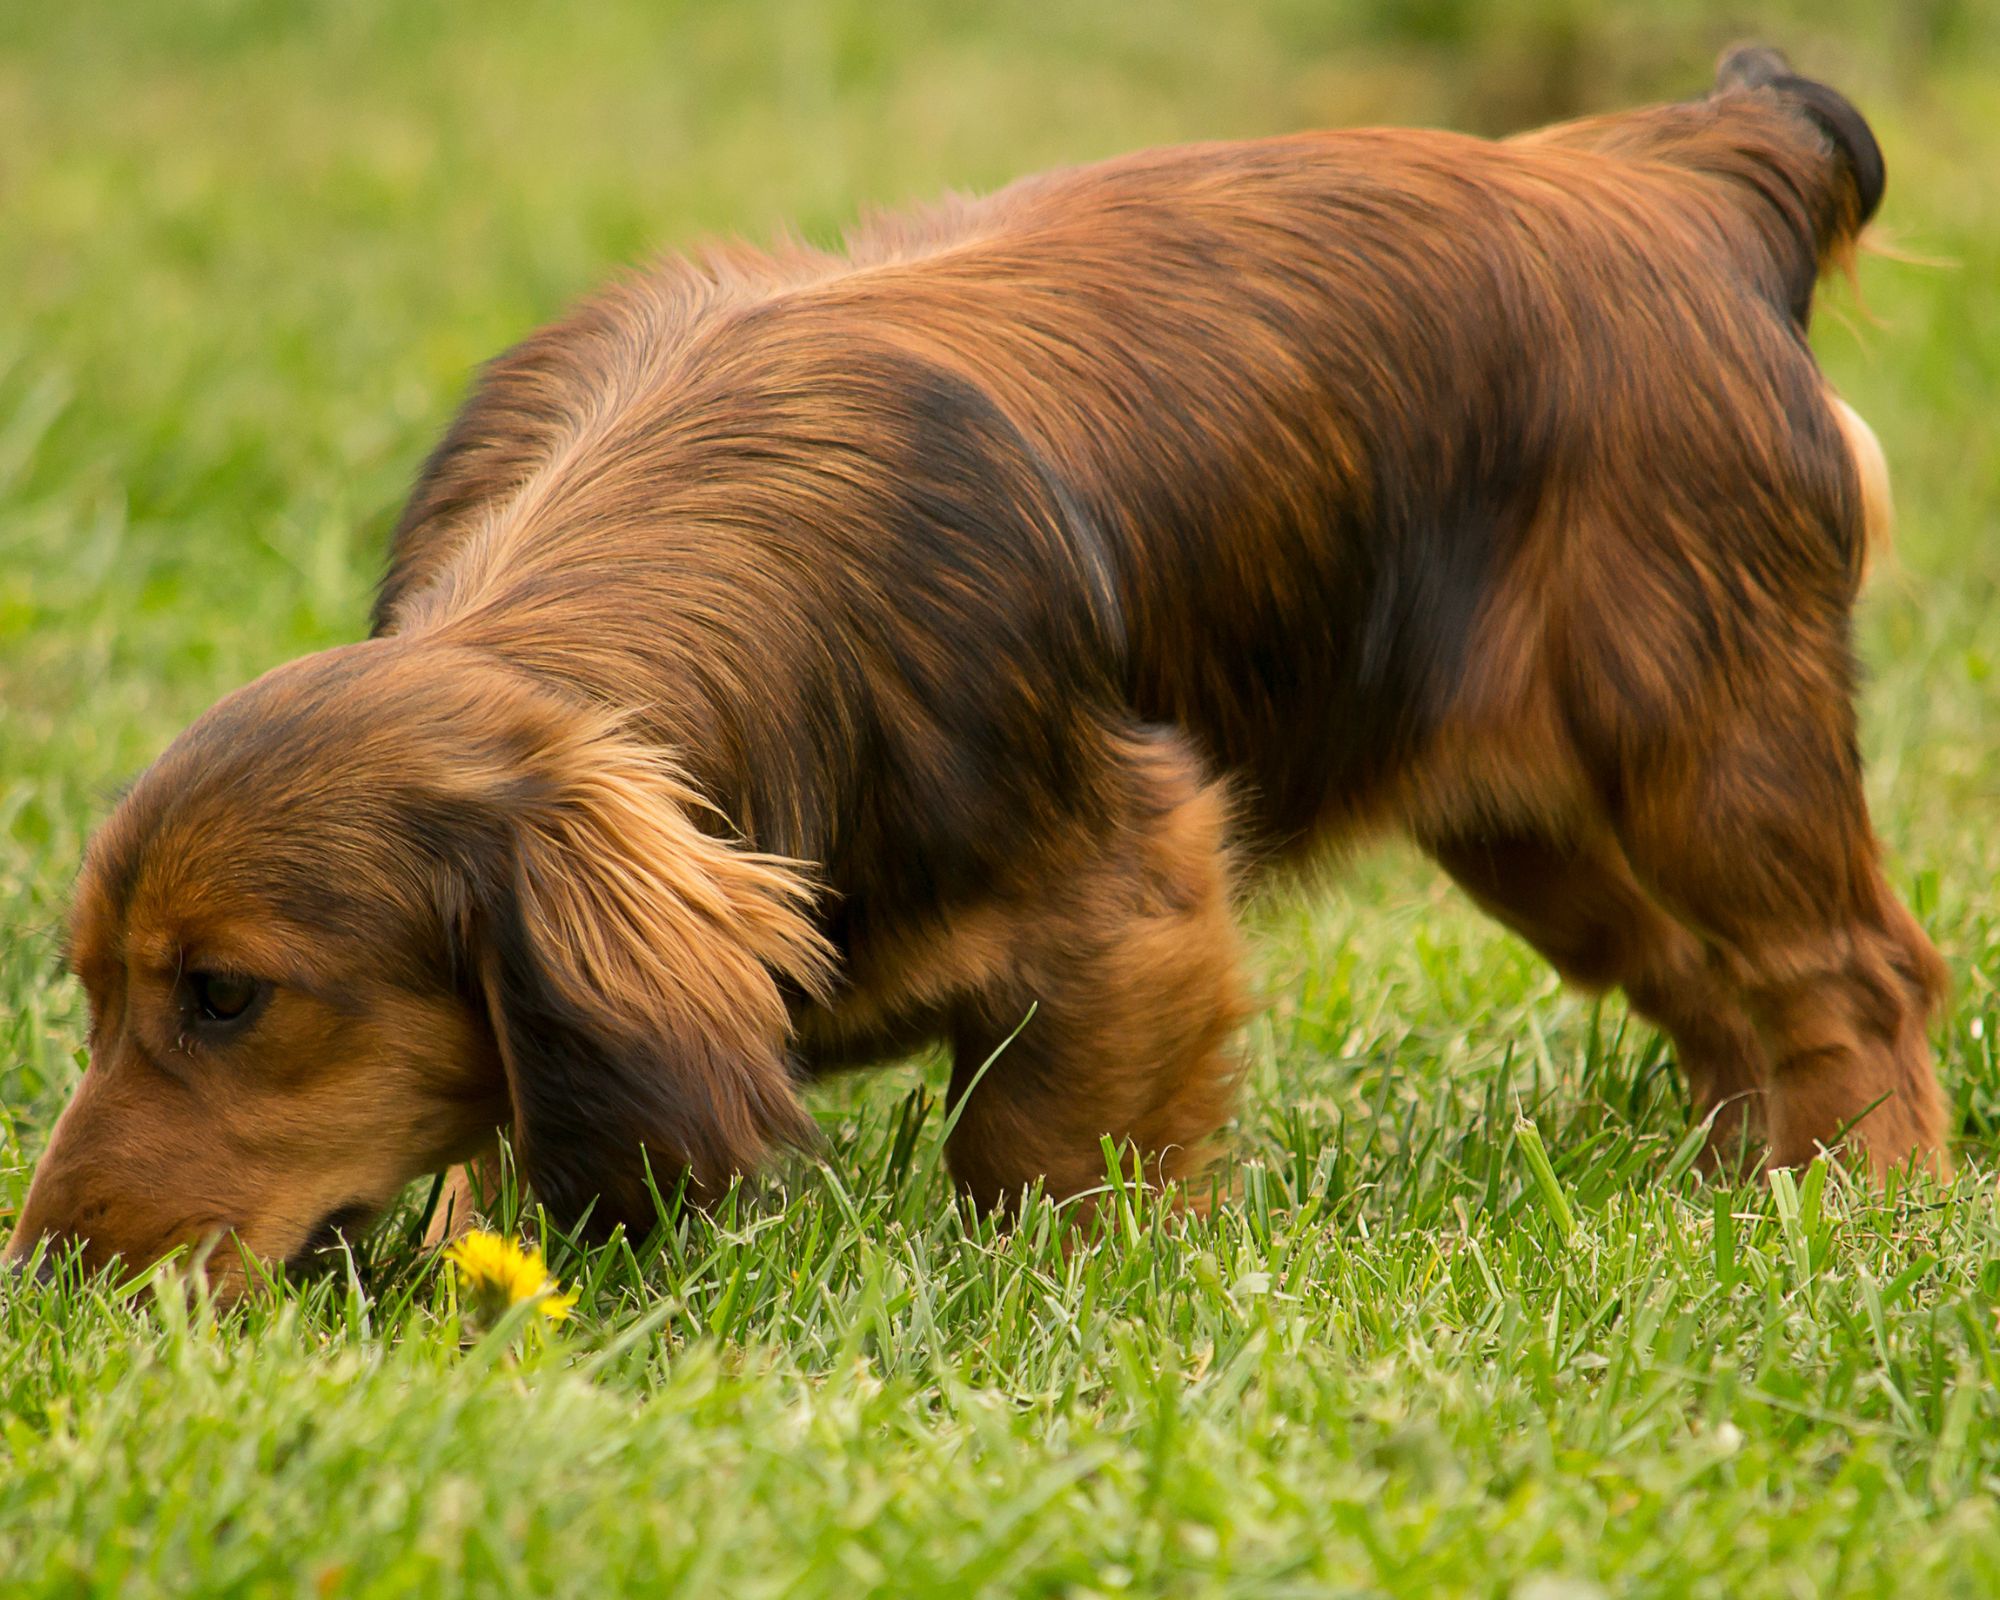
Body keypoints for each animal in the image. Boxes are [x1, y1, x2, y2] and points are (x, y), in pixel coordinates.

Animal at [0, 50, 1944, 1296]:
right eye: (90, 989)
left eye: (228, 996)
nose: (50, 1287)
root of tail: (1692, 166)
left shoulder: (1133, 891)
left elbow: (1033, 1152)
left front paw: (1057, 1313)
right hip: (1540, 829)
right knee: (1714, 998)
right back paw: (1731, 1192)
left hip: (1702, 743)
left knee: (1856, 974)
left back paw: (1865, 1213)